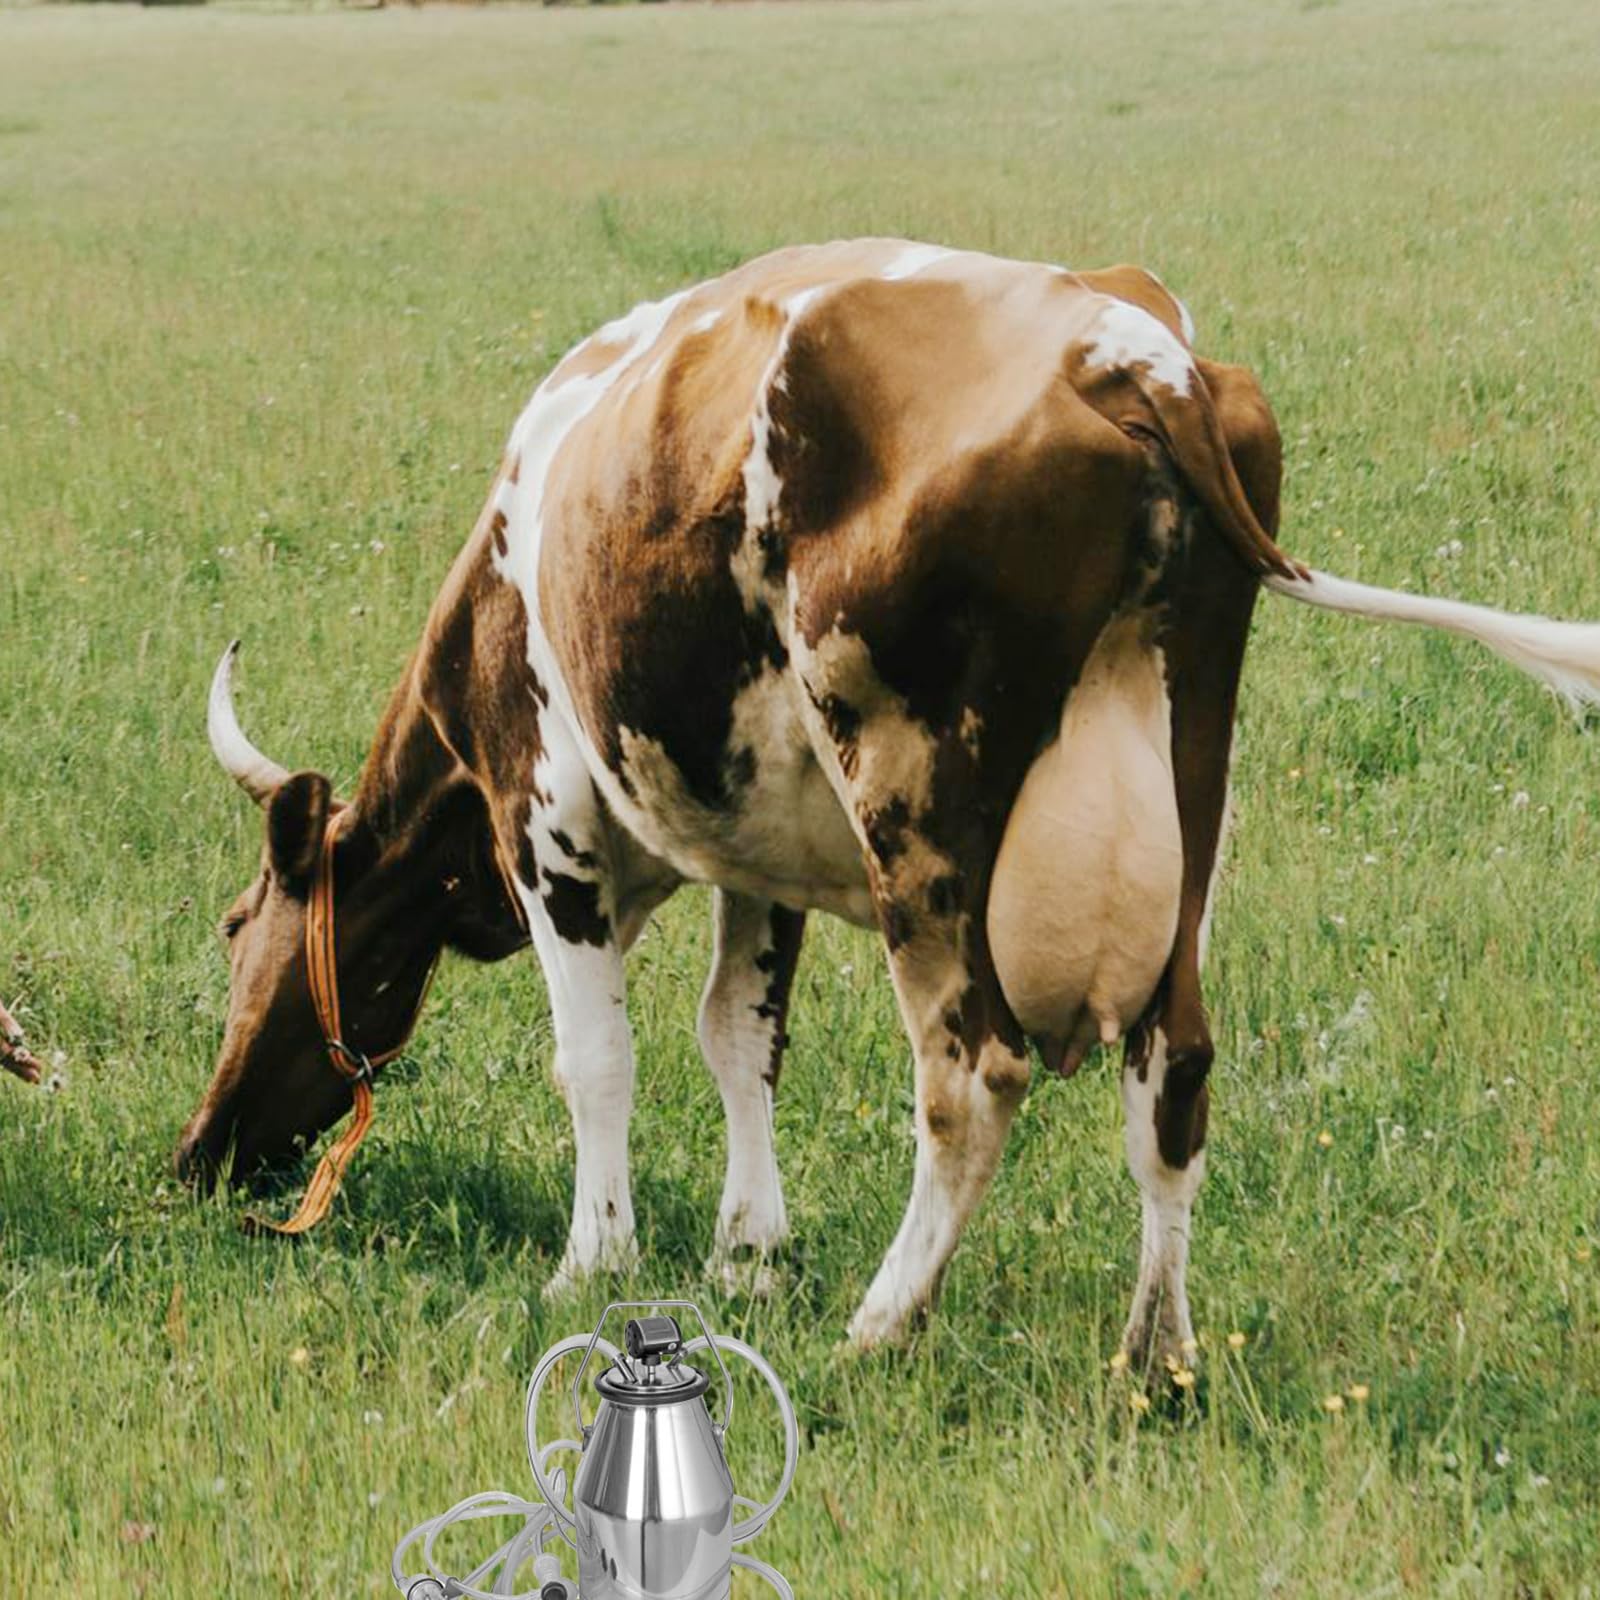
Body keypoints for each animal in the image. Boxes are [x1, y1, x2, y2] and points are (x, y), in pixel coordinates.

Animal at [175, 239, 1600, 1366]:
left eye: (237, 928)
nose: (198, 1154)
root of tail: (1129, 357)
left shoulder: (547, 818)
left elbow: (597, 1058)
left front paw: (593, 1261)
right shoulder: (748, 846)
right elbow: (736, 1037)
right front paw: (746, 1253)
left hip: (914, 800)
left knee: (971, 1071)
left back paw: (880, 1323)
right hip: (1192, 782)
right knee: (1173, 1067)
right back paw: (1155, 1356)